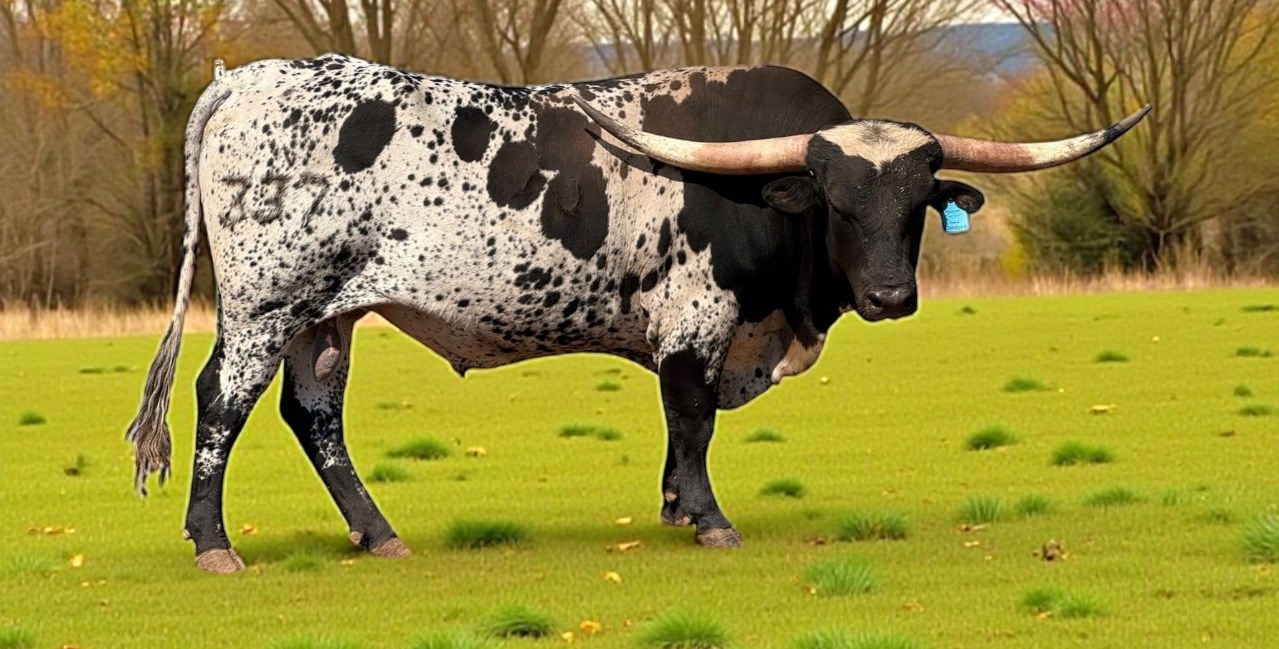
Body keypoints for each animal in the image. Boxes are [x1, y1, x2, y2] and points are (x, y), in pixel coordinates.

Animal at [125, 53, 1147, 572]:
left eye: (914, 203)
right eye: (833, 199)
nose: (891, 296)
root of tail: (249, 76)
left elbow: (678, 428)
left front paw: (670, 507)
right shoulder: (695, 322)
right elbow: (691, 421)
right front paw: (707, 518)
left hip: (325, 316)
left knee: (315, 414)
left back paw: (378, 534)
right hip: (266, 304)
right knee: (221, 404)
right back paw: (213, 543)